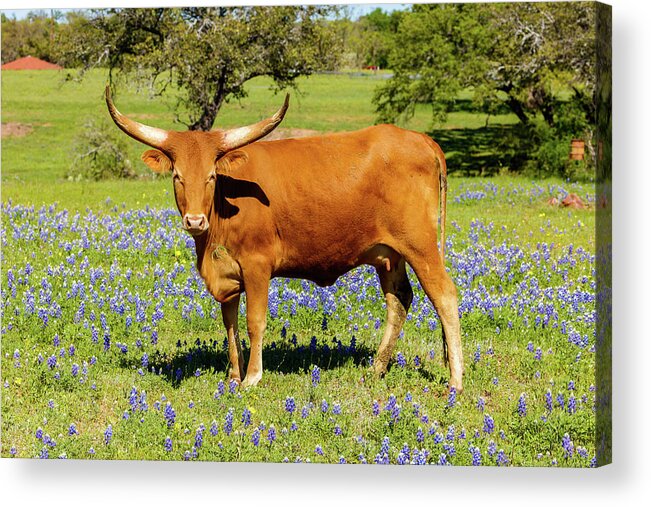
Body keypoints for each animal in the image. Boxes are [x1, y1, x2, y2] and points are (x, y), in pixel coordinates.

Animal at [107, 85, 464, 390]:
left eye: (211, 176)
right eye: (177, 176)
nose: (195, 220)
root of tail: (421, 139)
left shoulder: (257, 265)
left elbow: (254, 321)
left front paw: (252, 377)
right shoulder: (227, 274)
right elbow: (229, 323)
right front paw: (233, 375)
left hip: (420, 245)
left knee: (444, 296)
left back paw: (456, 381)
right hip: (389, 254)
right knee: (399, 300)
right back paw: (376, 370)